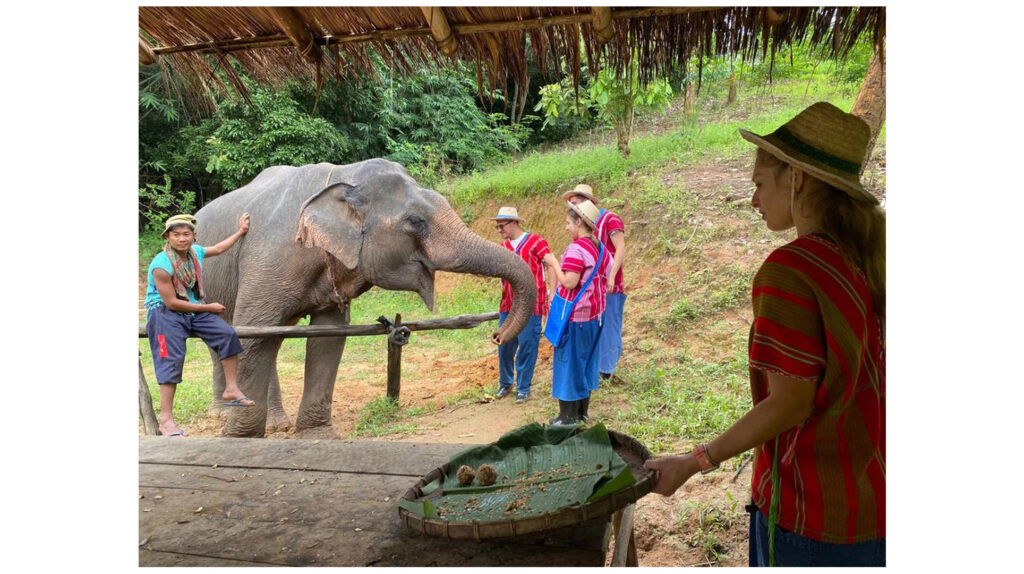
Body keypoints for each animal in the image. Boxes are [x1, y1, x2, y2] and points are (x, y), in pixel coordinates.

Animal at [194, 159, 536, 437]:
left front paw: (319, 437)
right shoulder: (269, 259)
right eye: (415, 221)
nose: (497, 334)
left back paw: (274, 424)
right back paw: (223, 415)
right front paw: (239, 437)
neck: (343, 177)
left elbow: (328, 337)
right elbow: (252, 332)